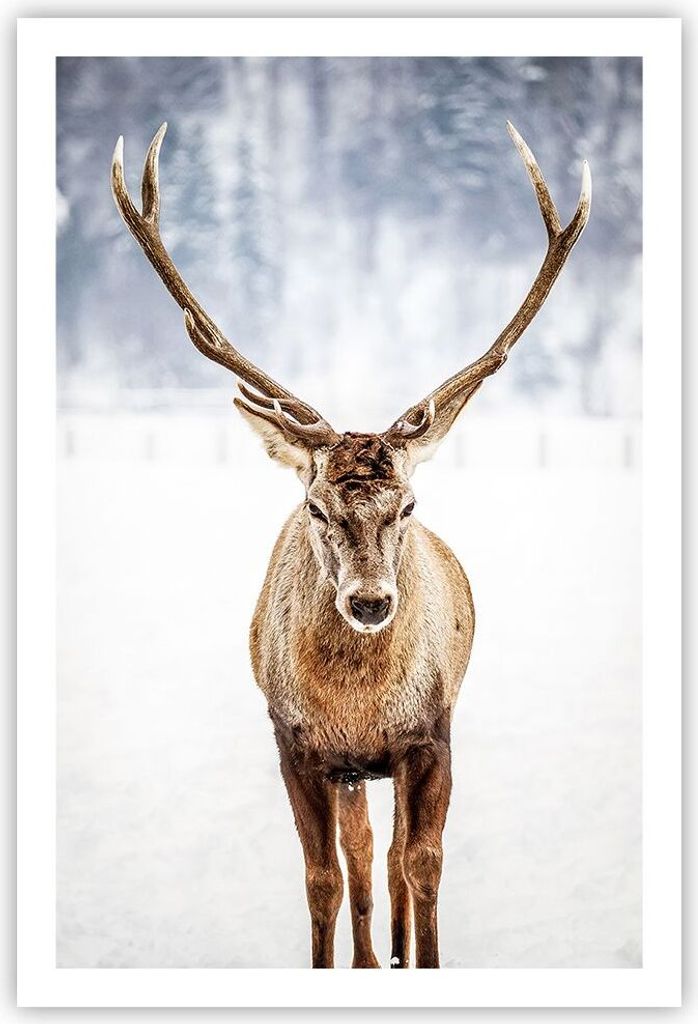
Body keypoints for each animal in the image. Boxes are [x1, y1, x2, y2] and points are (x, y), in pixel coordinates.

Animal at [111, 121, 590, 969]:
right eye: (314, 506)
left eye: (410, 504)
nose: (369, 602)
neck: (358, 706)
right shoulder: (297, 744)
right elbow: (325, 880)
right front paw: (346, 959)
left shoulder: (430, 734)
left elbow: (423, 867)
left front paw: (423, 958)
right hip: (351, 773)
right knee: (365, 860)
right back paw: (372, 955)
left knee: (394, 860)